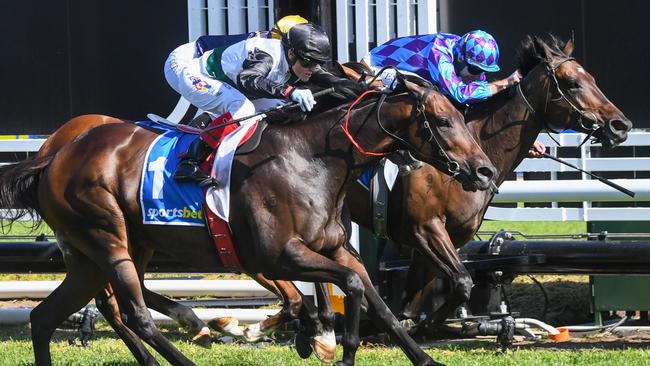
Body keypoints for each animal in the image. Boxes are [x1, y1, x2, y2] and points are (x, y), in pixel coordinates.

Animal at [3, 76, 492, 364]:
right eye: (443, 121)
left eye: (460, 116)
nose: (485, 171)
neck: (312, 159)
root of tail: (53, 157)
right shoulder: (277, 255)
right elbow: (351, 287)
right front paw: (325, 341)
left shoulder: (335, 248)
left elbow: (378, 302)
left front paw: (418, 356)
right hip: (109, 241)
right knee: (132, 312)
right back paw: (191, 336)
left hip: (97, 255)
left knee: (48, 317)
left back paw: (194, 322)